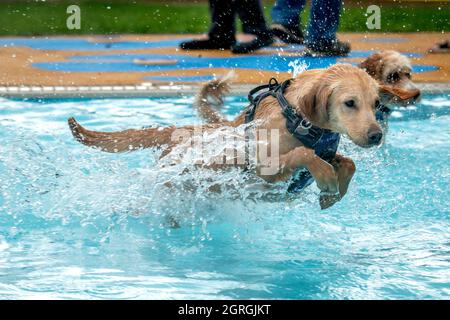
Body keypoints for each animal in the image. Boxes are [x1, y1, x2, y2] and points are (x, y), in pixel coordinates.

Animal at [69, 65, 408, 210]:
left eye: (375, 104)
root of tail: (177, 132)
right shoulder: (264, 168)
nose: (376, 135)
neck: (297, 118)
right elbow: (304, 155)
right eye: (350, 103)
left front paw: (332, 194)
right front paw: (326, 179)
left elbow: (348, 162)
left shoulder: (329, 151)